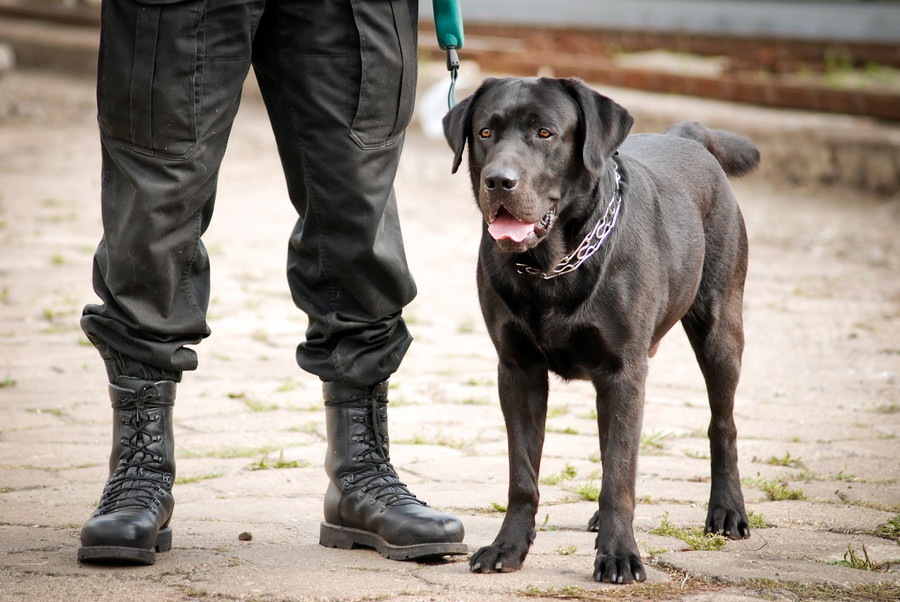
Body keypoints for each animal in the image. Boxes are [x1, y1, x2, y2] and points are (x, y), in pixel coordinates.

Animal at [442, 78, 760, 580]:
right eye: (485, 132)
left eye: (546, 133)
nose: (498, 181)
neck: (551, 266)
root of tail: (686, 136)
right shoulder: (517, 369)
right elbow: (524, 474)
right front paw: (508, 547)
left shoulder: (623, 371)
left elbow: (619, 473)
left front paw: (619, 555)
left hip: (720, 328)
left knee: (721, 424)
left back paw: (727, 511)